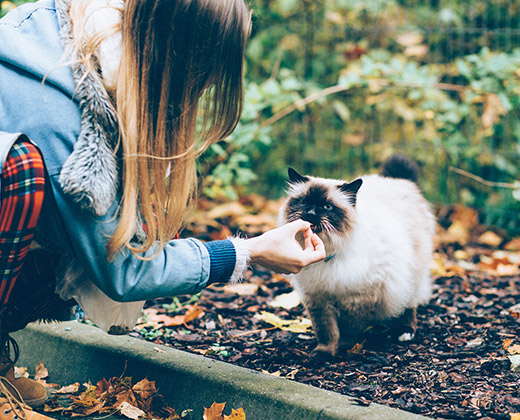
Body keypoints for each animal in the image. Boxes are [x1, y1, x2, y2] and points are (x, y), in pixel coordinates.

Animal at [278, 156, 436, 360]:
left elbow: (348, 329)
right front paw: (324, 353)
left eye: (327, 207)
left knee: (409, 305)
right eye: (304, 202)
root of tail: (400, 181)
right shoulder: (317, 298)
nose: (310, 214)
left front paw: (344, 349)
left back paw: (404, 332)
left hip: (410, 276)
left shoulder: (356, 298)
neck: (328, 254)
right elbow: (326, 331)